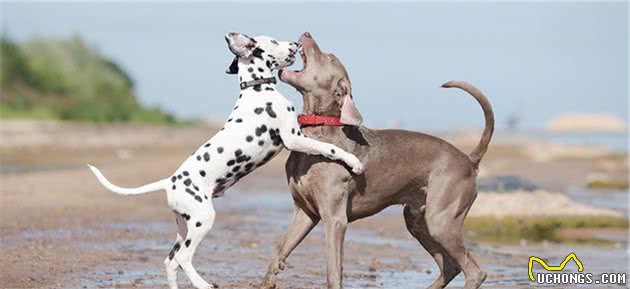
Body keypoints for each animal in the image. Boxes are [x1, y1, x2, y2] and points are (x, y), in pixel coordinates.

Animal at [89, 32, 366, 288]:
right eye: (273, 41)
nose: (296, 43)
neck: (256, 87)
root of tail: (169, 182)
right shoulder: (292, 138)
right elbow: (328, 148)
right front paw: (353, 161)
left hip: (184, 225)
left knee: (170, 261)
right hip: (202, 220)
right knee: (183, 258)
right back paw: (203, 284)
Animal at [260, 32, 496, 288]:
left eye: (329, 56)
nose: (307, 33)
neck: (317, 132)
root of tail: (469, 159)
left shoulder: (335, 219)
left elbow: (333, 271)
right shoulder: (305, 212)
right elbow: (279, 250)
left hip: (441, 221)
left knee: (474, 271)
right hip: (416, 219)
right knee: (451, 266)